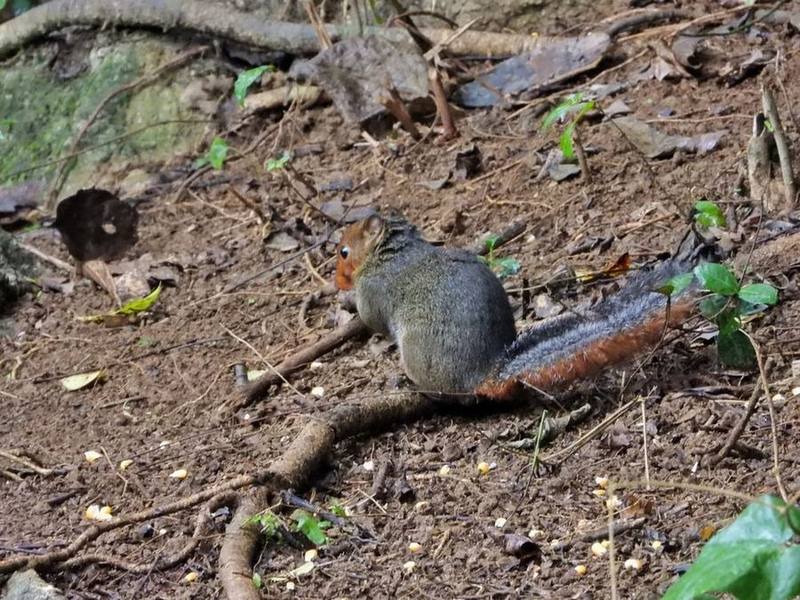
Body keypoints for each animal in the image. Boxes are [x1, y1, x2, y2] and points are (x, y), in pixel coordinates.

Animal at [335, 213, 698, 401]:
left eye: (343, 252)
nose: (338, 282)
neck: (390, 253)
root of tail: (488, 371)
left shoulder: (374, 290)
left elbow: (373, 317)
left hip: (417, 351)